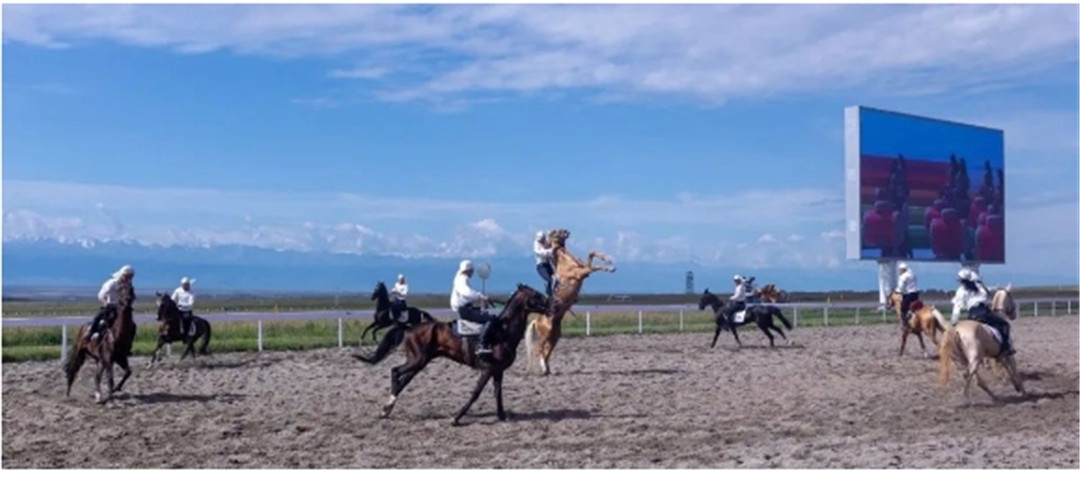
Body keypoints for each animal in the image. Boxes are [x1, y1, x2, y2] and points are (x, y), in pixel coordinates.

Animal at [358, 282, 552, 425]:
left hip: (419, 362)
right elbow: (475, 393)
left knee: (403, 380)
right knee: (395, 371)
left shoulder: (498, 371)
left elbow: (498, 393)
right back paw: (387, 406)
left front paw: (502, 416)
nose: (552, 305)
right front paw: (456, 418)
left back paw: (387, 409)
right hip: (417, 360)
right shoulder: (488, 369)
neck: (502, 332)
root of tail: (409, 327)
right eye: (535, 295)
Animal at [524, 228, 617, 377]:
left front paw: (609, 263)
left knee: (546, 352)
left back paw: (547, 369)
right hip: (547, 333)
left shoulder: (585, 270)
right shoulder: (583, 272)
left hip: (555, 335)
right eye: (555, 232)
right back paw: (543, 369)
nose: (566, 230)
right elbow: (593, 265)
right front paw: (610, 267)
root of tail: (536, 320)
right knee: (539, 349)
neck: (564, 260)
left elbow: (592, 253)